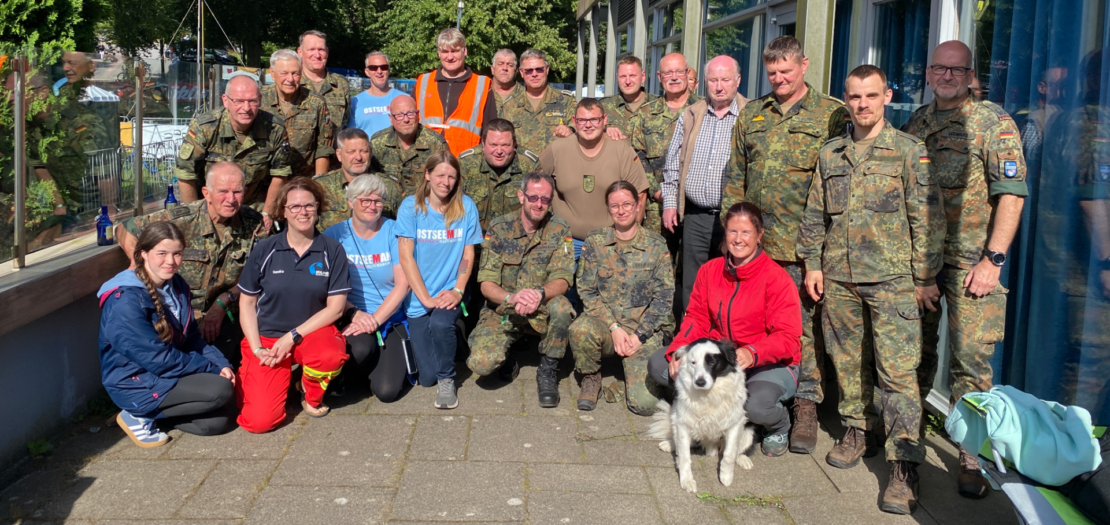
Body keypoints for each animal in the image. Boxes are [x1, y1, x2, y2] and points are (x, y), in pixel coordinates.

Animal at [648, 337, 754, 492]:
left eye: (712, 362)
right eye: (693, 362)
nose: (700, 382)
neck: (709, 394)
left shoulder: (736, 422)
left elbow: (729, 453)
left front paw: (726, 476)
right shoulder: (682, 422)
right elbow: (684, 455)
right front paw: (687, 481)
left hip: (749, 432)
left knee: (737, 449)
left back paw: (742, 459)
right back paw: (669, 444)